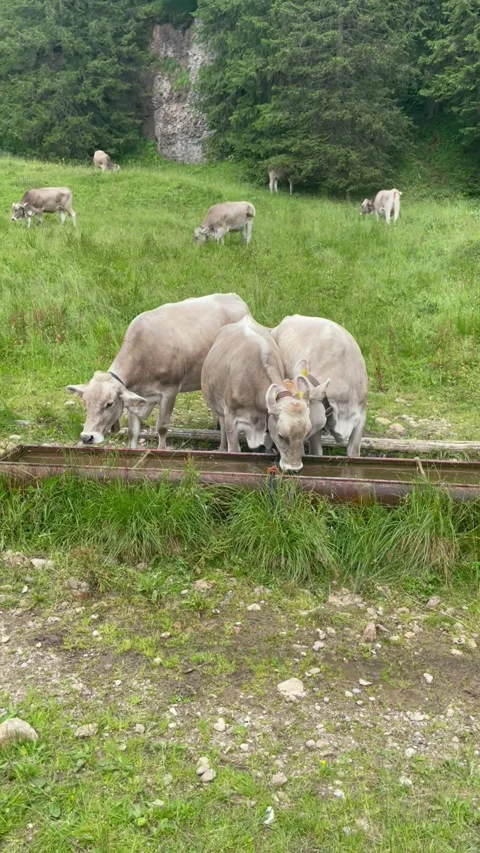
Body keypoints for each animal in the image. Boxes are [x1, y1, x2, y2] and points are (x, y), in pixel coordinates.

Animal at [67, 293, 250, 449]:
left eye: (109, 404)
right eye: (85, 402)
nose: (87, 437)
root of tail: (235, 297)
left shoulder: (170, 391)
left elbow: (162, 428)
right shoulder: (135, 397)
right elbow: (133, 432)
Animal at [201, 316, 321, 473]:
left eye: (306, 433)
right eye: (281, 435)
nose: (293, 469)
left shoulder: (267, 421)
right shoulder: (231, 417)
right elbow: (234, 450)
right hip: (219, 407)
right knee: (221, 427)